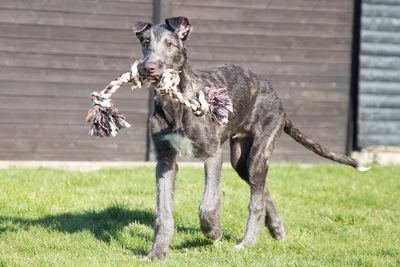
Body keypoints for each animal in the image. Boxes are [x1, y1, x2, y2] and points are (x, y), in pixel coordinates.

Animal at [132, 16, 368, 260]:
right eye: (146, 42)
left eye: (169, 44)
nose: (148, 67)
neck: (177, 103)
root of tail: (276, 96)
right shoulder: (165, 161)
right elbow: (163, 211)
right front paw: (157, 253)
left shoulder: (213, 154)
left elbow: (208, 203)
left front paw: (213, 230)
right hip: (241, 160)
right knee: (262, 191)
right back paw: (276, 228)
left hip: (260, 150)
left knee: (257, 201)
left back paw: (247, 243)